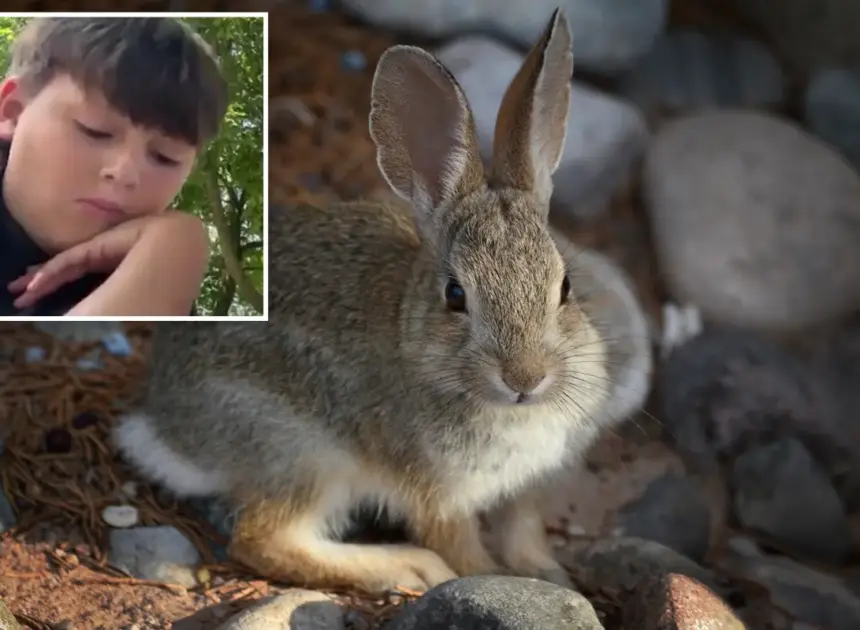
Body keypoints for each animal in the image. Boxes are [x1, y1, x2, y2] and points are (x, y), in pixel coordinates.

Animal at [113, 8, 618, 595]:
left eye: (565, 288)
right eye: (455, 295)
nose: (525, 378)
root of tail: (165, 427)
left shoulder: (528, 489)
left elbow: (524, 532)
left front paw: (551, 576)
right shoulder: (438, 494)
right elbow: (463, 550)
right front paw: (488, 577)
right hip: (304, 453)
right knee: (263, 540)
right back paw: (404, 566)